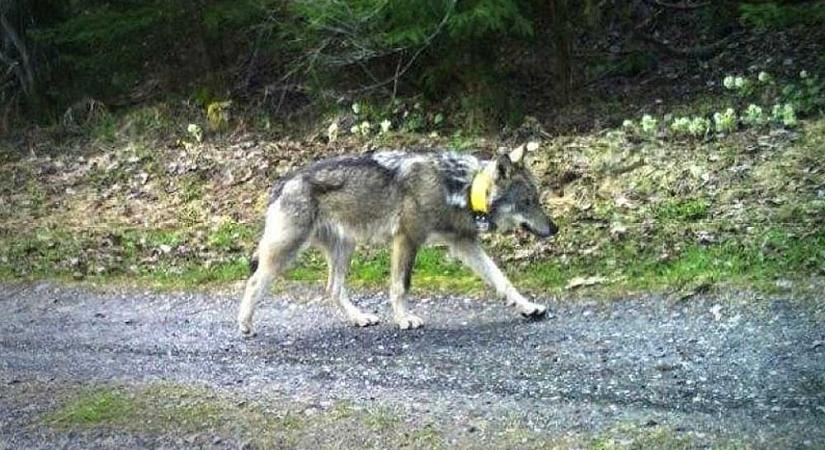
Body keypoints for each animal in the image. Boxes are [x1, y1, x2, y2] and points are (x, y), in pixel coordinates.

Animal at [238, 146, 560, 336]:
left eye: (538, 200)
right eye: (527, 202)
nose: (555, 228)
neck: (460, 187)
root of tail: (284, 181)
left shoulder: (464, 244)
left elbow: (502, 280)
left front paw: (528, 307)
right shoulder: (407, 239)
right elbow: (400, 286)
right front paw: (404, 320)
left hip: (345, 249)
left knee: (333, 289)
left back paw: (360, 318)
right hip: (286, 252)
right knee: (253, 282)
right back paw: (245, 324)